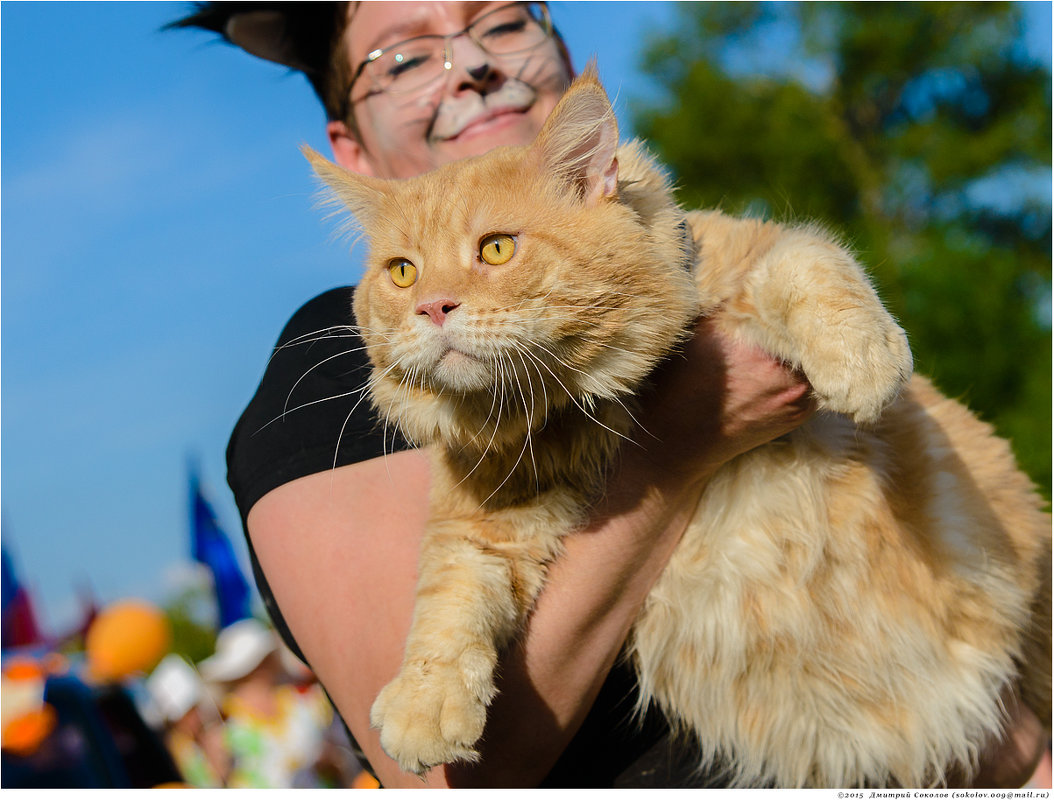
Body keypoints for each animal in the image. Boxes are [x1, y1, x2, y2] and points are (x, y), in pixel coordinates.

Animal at [303, 67, 1045, 788]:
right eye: (403, 272)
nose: (431, 306)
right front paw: (424, 702)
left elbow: (810, 259)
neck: (584, 405)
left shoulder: (759, 256)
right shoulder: (485, 519)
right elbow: (447, 596)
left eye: (497, 249)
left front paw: (862, 360)